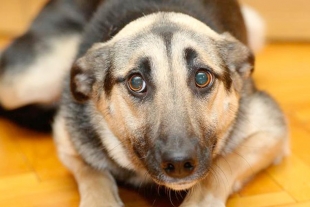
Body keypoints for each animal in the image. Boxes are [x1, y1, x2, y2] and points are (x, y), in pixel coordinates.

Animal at [1, 0, 290, 207]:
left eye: (202, 77)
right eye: (136, 82)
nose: (179, 164)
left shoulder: (271, 131)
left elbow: (220, 166)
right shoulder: (66, 137)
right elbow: (93, 172)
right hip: (21, 83)